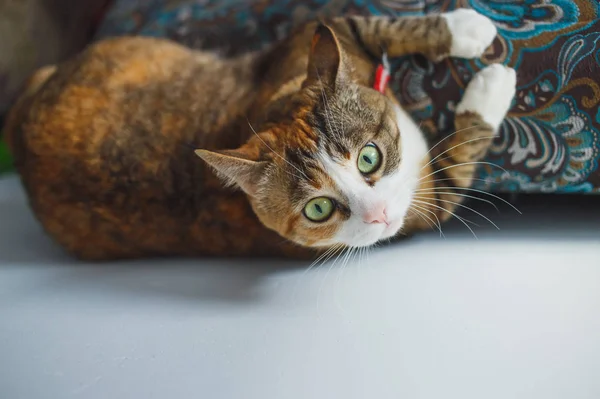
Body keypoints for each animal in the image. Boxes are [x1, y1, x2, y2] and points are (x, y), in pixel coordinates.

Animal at [3, 9, 516, 262]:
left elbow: (358, 21)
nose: (379, 216)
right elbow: (459, 160)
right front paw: (491, 81)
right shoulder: (430, 201)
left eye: (368, 158)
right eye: (317, 209)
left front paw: (463, 26)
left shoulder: (304, 46)